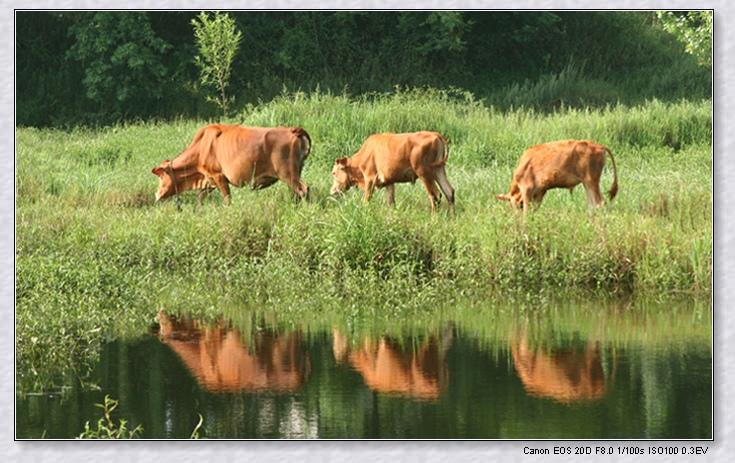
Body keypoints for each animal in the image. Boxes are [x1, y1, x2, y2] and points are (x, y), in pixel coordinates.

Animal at [152, 123, 310, 205]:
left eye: (161, 177)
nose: (157, 195)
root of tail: (292, 130)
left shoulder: (219, 176)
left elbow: (227, 199)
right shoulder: (210, 181)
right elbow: (200, 198)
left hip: (287, 174)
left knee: (304, 189)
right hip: (295, 173)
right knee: (296, 193)